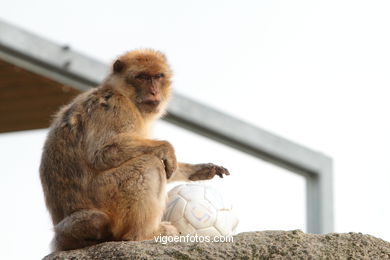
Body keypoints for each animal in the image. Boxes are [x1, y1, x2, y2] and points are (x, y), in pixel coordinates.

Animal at [39, 49, 229, 252]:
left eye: (158, 76)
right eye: (142, 77)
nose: (154, 91)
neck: (122, 93)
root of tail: (63, 240)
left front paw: (198, 170)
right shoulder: (116, 107)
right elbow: (101, 152)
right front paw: (167, 149)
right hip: (105, 196)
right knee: (150, 164)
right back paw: (144, 234)